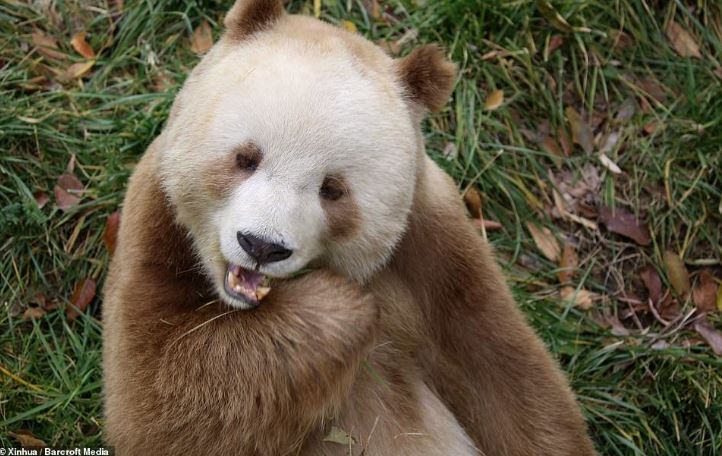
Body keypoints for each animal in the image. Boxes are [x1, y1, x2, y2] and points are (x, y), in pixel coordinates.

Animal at [102, 1, 596, 454]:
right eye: (246, 157)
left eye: (333, 189)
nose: (261, 246)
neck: (248, 311)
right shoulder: (154, 222)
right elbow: (162, 405)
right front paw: (340, 307)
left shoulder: (435, 250)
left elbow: (511, 383)